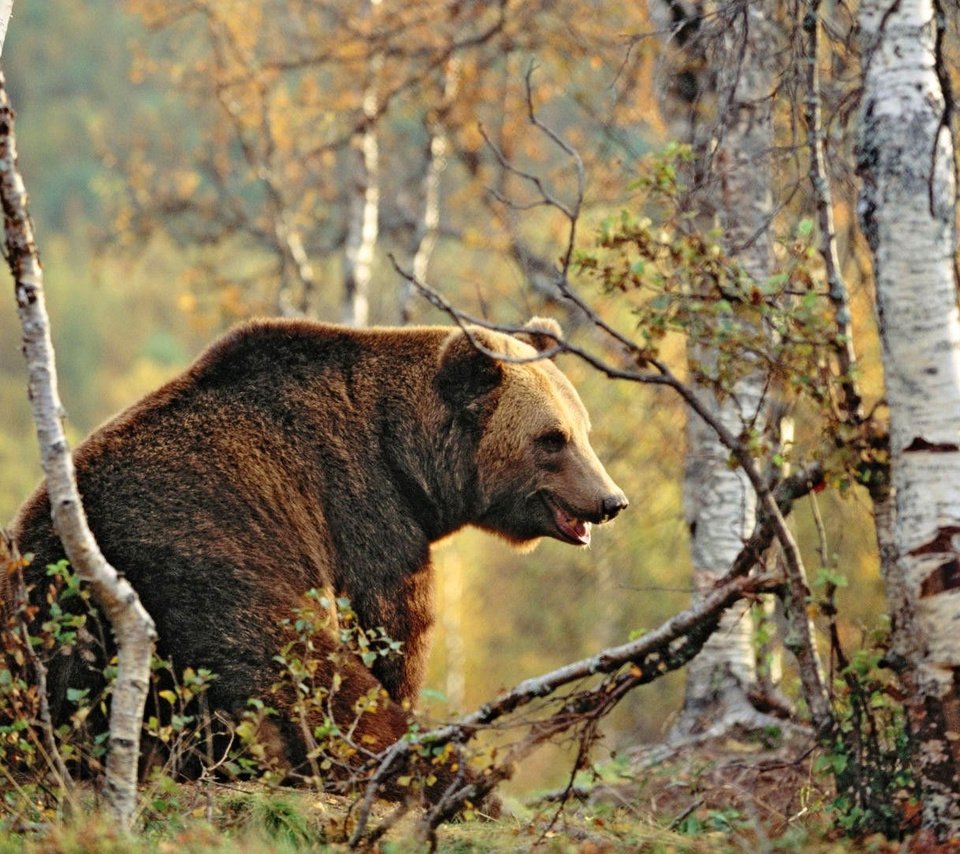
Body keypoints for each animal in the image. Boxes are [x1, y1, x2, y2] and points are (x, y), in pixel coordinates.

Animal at [7, 320, 628, 796]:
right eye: (552, 438)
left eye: (584, 429)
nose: (610, 501)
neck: (406, 458)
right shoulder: (360, 512)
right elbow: (390, 633)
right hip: (211, 578)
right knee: (314, 687)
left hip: (53, 623)